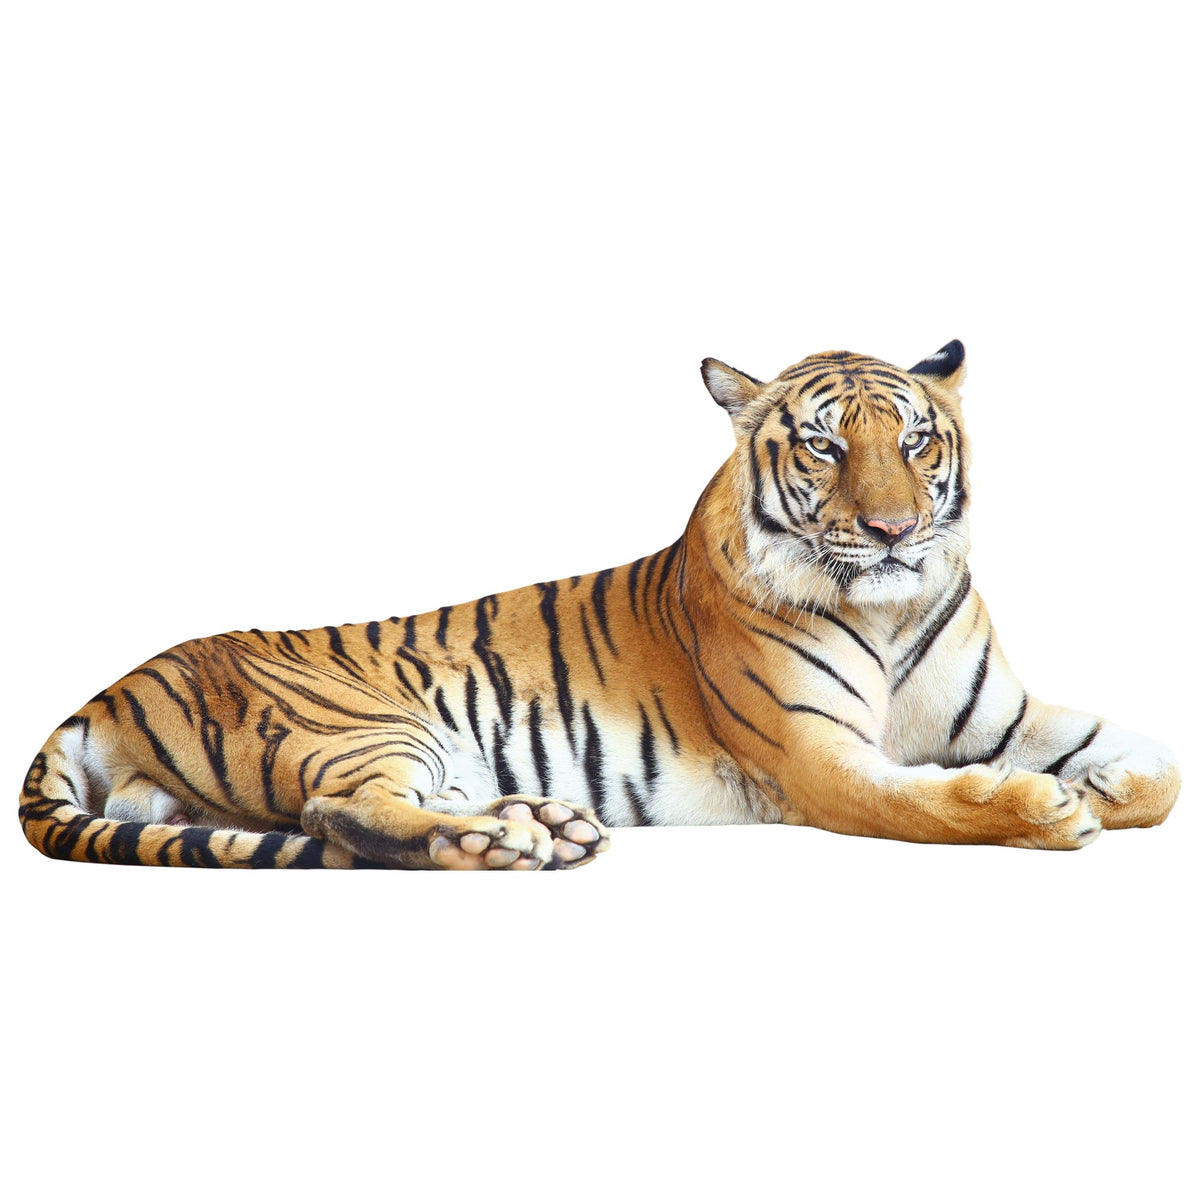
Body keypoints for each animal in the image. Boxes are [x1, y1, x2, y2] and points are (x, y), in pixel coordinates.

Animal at [19, 340, 1181, 870]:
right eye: (823, 446)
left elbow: (1163, 771)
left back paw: (539, 822)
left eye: (915, 441)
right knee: (336, 815)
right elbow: (931, 802)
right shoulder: (818, 761)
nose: (896, 532)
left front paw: (1107, 784)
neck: (891, 611)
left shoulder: (1002, 714)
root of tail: (109, 689)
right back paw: (508, 847)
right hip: (364, 724)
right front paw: (1051, 808)